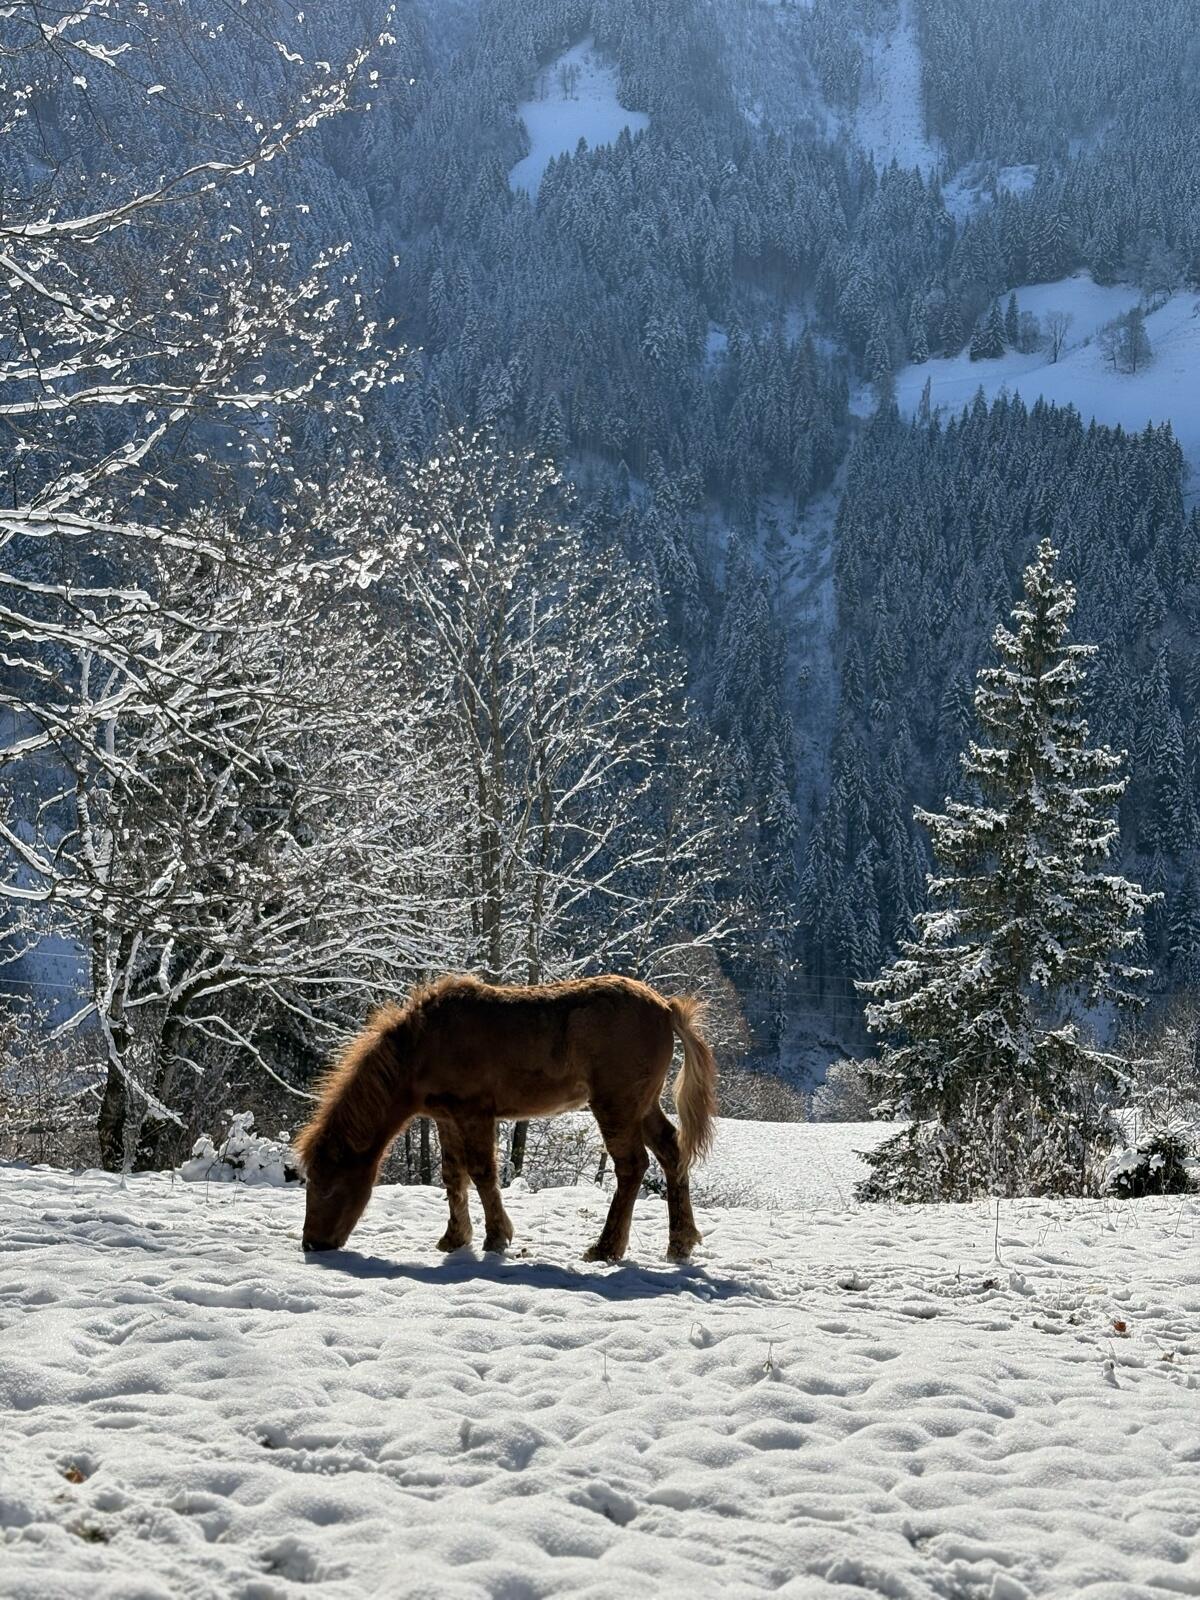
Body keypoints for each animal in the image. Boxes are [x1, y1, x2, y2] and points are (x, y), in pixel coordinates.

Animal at [294, 973, 718, 1262]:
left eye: (329, 1186)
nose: (312, 1243)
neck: (423, 1045)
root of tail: (666, 1008)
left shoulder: (475, 1113)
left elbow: (482, 1172)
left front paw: (496, 1237)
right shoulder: (446, 1117)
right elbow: (453, 1175)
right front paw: (454, 1238)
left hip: (616, 1105)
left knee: (631, 1166)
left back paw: (606, 1247)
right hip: (641, 1106)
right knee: (671, 1151)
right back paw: (680, 1242)